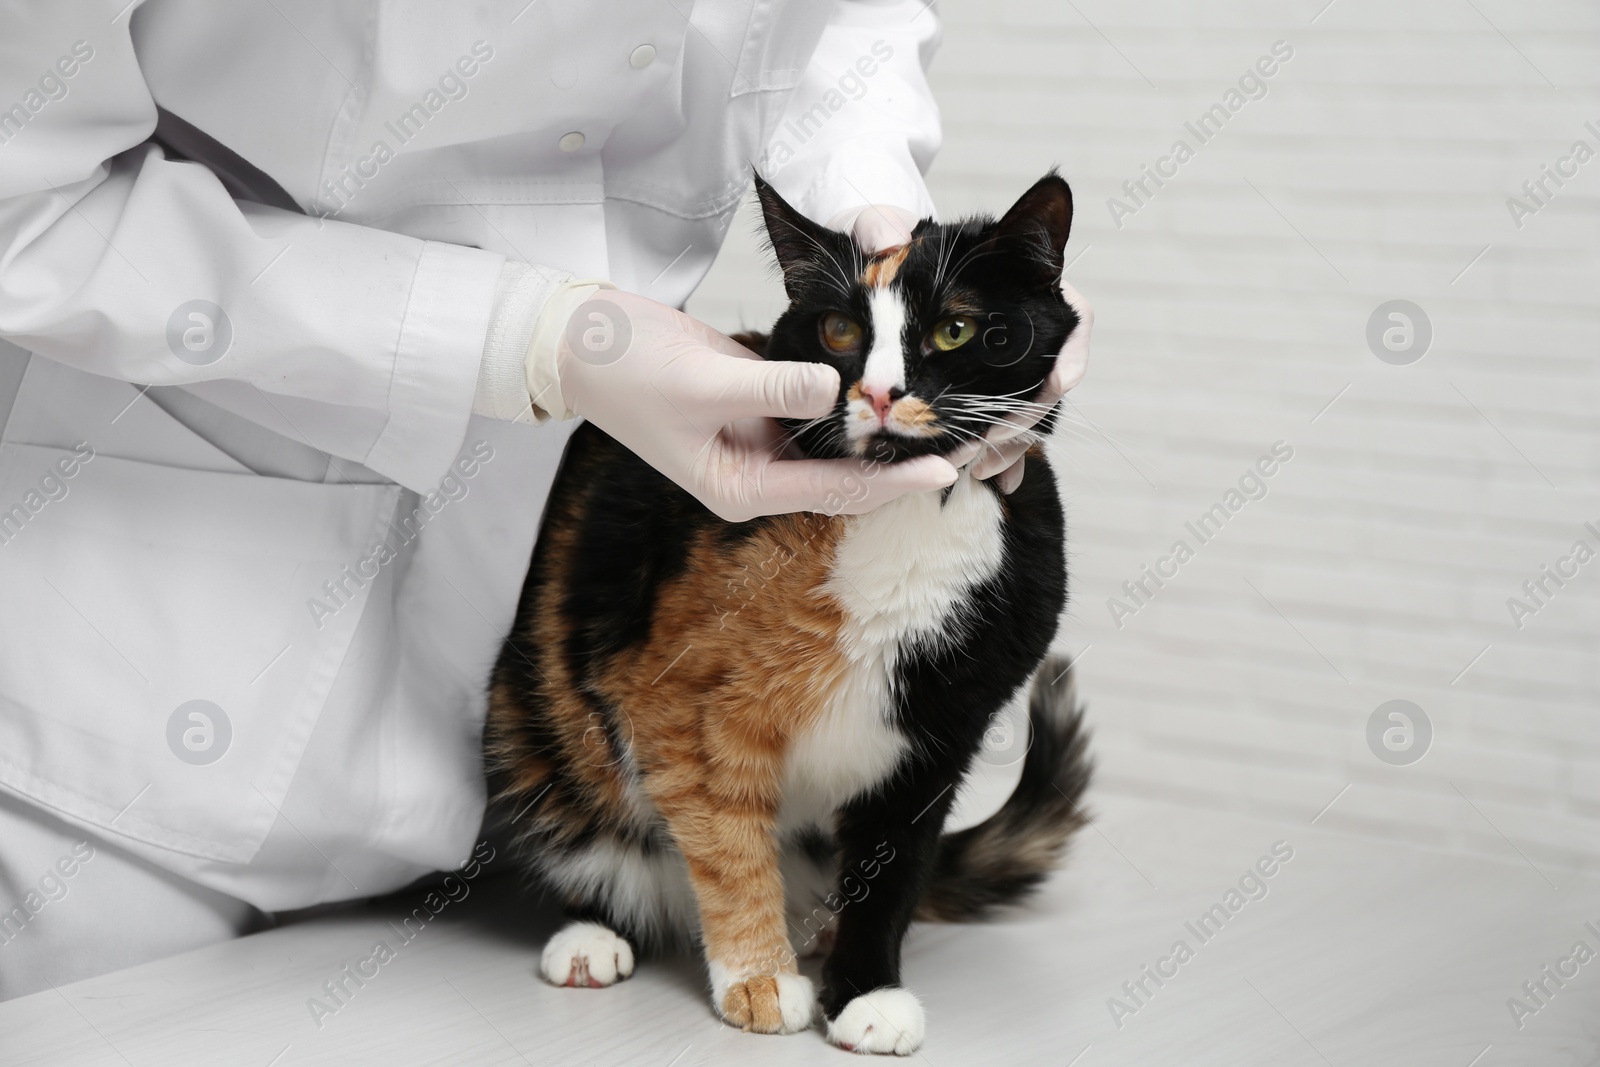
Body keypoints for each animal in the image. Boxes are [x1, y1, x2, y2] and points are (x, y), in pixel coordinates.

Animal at [480, 171, 1094, 1055]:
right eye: (839, 329)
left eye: (956, 328)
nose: (879, 392)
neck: (902, 514)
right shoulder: (680, 702)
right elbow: (729, 843)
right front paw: (759, 980)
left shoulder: (938, 733)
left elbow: (890, 872)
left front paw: (867, 992)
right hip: (532, 712)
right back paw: (594, 933)